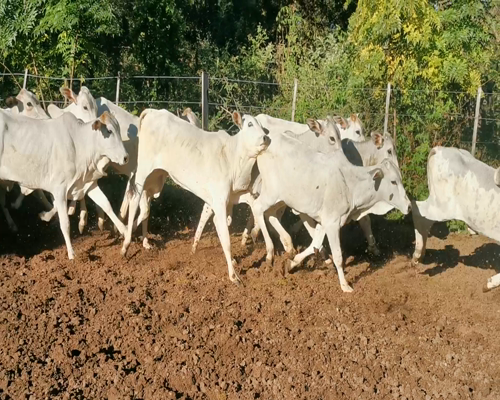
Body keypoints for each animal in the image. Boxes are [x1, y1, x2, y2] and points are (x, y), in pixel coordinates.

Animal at [121, 109, 270, 284]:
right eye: (250, 124)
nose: (266, 138)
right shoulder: (219, 201)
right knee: (134, 201)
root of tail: (153, 111)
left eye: (263, 128)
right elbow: (225, 238)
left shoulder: (234, 196)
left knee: (144, 208)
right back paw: (125, 245)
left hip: (154, 180)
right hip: (144, 171)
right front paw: (233, 276)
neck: (233, 158)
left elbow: (250, 208)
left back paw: (142, 241)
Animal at [250, 117, 410, 292]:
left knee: (270, 214)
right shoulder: (332, 223)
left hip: (280, 199)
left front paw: (293, 263)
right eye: (393, 181)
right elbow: (338, 255)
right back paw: (269, 252)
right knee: (257, 208)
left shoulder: (325, 221)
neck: (350, 183)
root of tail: (267, 142)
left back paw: (287, 244)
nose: (409, 206)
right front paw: (345, 285)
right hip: (271, 194)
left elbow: (315, 242)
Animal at [412, 147, 500, 290]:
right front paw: (489, 284)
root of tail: (440, 149)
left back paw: (422, 255)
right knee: (416, 209)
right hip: (442, 208)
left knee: (424, 221)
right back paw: (417, 255)